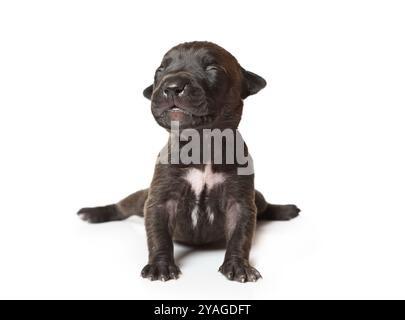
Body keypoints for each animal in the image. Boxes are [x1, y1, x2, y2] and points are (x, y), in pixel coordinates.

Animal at [78, 40, 300, 282]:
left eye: (212, 68)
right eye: (160, 70)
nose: (172, 86)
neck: (202, 143)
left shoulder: (240, 202)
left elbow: (240, 235)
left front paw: (238, 265)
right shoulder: (159, 200)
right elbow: (158, 235)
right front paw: (160, 266)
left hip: (256, 197)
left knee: (265, 207)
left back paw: (285, 210)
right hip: (140, 198)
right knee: (123, 206)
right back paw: (94, 213)